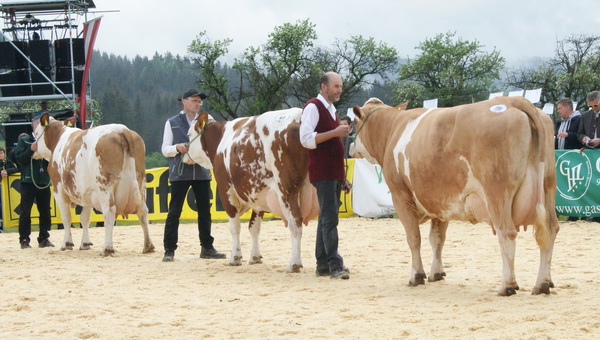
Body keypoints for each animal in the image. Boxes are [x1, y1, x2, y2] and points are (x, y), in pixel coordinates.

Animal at [32, 114, 155, 255]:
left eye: (36, 132)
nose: (32, 147)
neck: (59, 139)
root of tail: (122, 130)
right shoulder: (88, 193)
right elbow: (85, 218)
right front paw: (85, 243)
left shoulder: (58, 189)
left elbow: (66, 217)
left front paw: (66, 244)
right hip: (140, 183)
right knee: (143, 211)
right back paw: (148, 246)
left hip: (104, 186)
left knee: (109, 212)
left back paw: (107, 248)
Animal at [185, 107, 322, 272]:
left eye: (189, 134)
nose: (183, 152)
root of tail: (300, 116)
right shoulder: (258, 194)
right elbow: (254, 227)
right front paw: (255, 257)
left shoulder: (226, 190)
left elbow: (235, 227)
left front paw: (235, 257)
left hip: (286, 190)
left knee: (295, 222)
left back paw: (294, 264)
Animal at [350, 96, 560, 294]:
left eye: (353, 123)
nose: (351, 146)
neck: (393, 128)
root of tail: (513, 100)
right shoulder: (441, 202)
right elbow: (437, 238)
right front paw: (436, 273)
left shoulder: (400, 195)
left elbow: (414, 238)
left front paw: (416, 275)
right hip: (548, 187)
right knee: (550, 230)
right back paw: (542, 284)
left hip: (497, 192)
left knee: (506, 232)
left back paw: (506, 286)